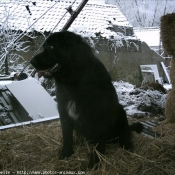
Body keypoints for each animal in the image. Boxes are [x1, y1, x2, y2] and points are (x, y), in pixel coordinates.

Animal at [30, 31, 143, 168]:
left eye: (51, 47)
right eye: (44, 46)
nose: (31, 61)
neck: (73, 80)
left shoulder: (99, 114)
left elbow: (98, 143)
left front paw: (95, 162)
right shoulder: (64, 112)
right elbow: (67, 136)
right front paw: (67, 153)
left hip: (120, 112)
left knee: (125, 134)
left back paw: (127, 147)